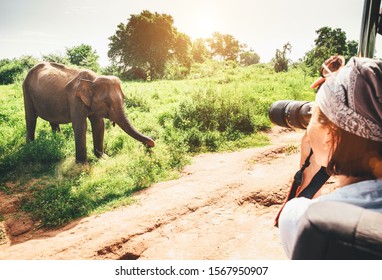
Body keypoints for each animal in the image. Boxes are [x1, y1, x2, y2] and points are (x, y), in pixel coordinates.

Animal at [22, 61, 155, 162]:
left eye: (124, 98)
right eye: (107, 103)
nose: (150, 145)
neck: (93, 80)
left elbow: (99, 124)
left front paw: (103, 158)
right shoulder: (75, 99)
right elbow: (81, 126)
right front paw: (82, 165)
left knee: (52, 121)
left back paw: (58, 141)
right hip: (26, 89)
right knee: (30, 118)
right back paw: (30, 147)